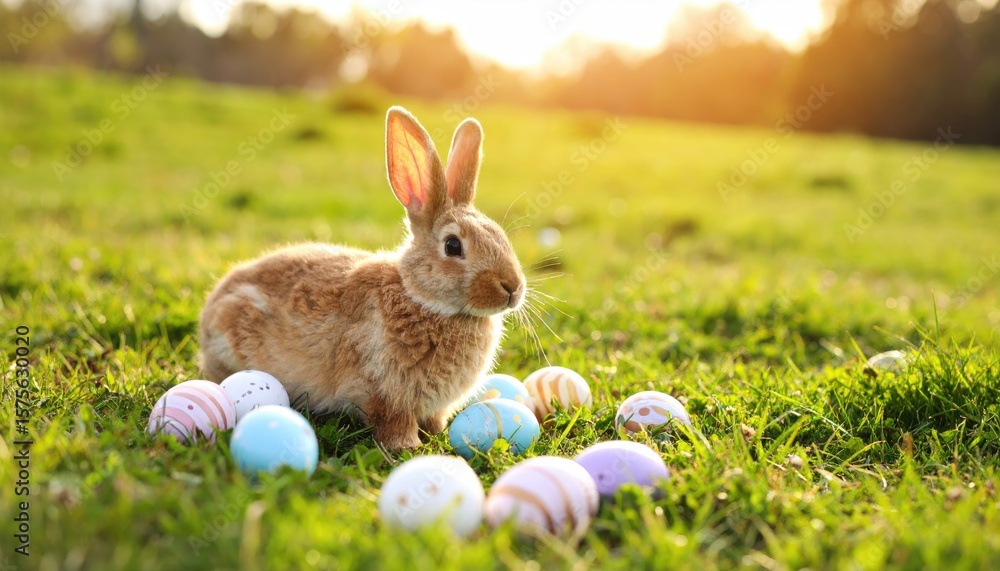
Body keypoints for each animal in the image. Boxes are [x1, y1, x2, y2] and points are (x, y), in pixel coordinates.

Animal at [198, 106, 526, 450]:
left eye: (500, 236)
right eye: (452, 246)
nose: (513, 288)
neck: (421, 299)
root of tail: (211, 310)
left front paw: (437, 434)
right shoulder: (384, 390)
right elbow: (393, 421)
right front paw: (407, 447)